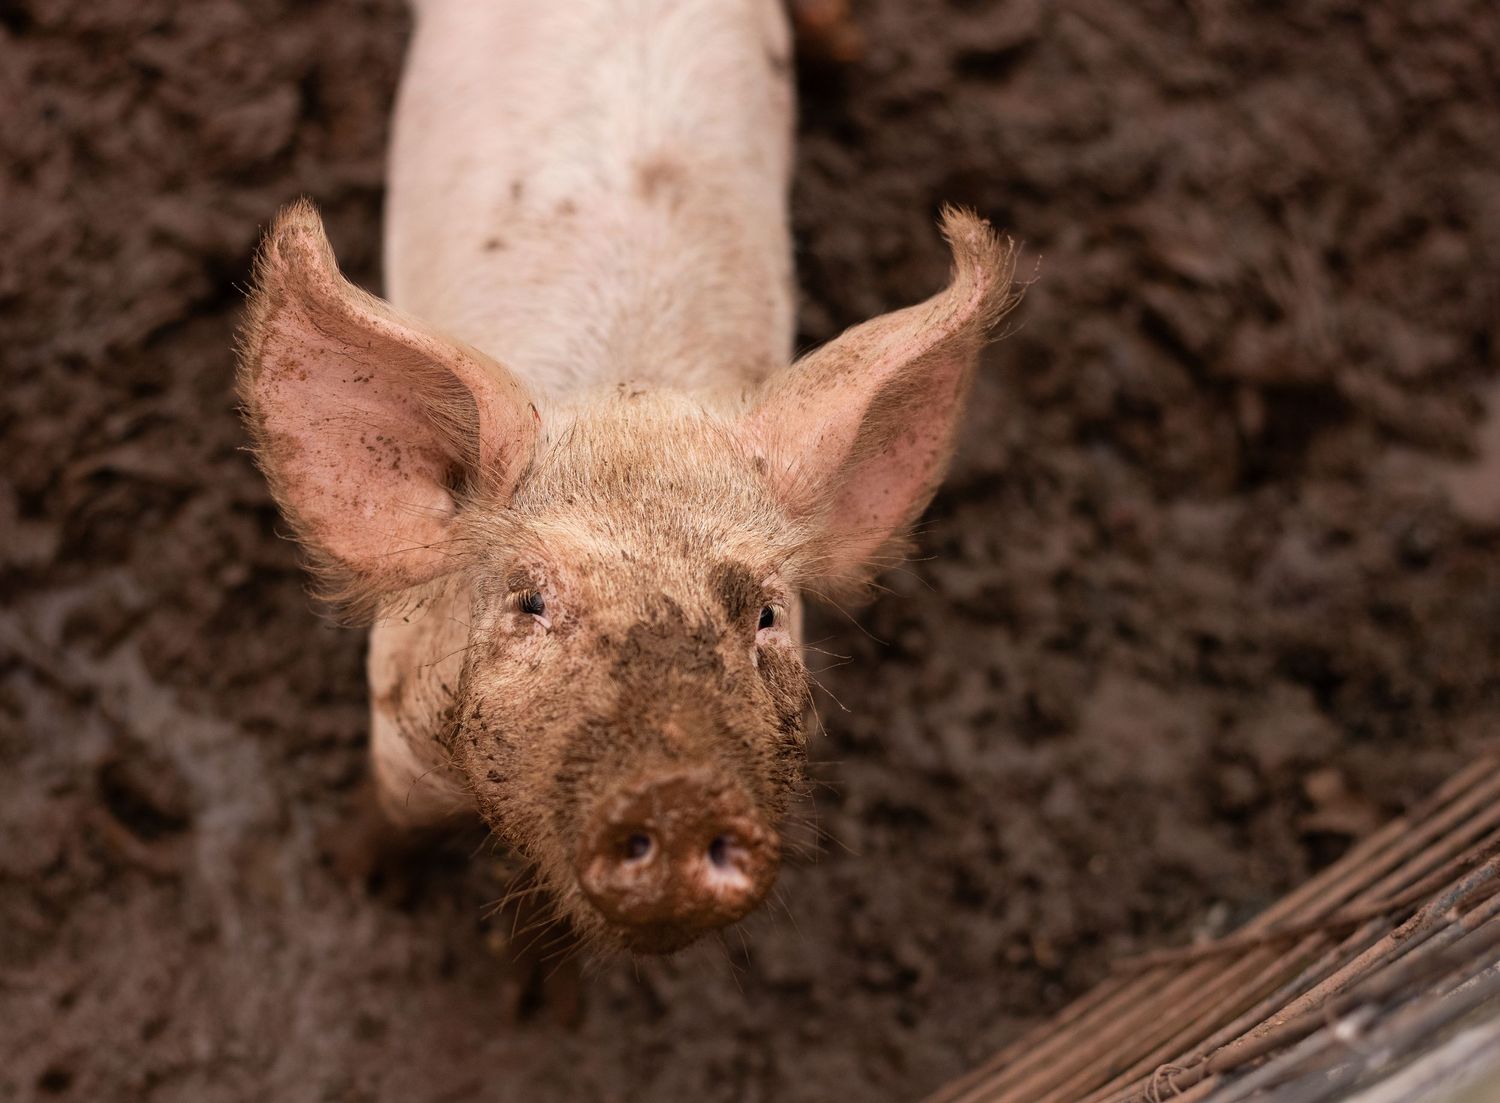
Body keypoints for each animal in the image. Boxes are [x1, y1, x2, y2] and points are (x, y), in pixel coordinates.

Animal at [236, 0, 1018, 955]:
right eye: (530, 600)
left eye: (765, 614)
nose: (680, 794)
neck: (629, 386)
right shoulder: (394, 711)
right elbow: (392, 813)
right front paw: (356, 879)